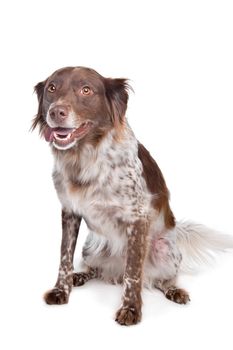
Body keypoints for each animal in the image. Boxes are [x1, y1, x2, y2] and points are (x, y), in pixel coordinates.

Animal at [32, 66, 233, 326]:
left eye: (86, 90)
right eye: (52, 88)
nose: (56, 112)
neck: (85, 158)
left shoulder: (137, 218)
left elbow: (133, 273)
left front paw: (130, 309)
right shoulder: (70, 211)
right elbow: (64, 258)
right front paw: (61, 290)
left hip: (165, 250)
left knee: (161, 279)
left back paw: (174, 290)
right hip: (92, 246)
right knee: (96, 268)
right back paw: (81, 276)